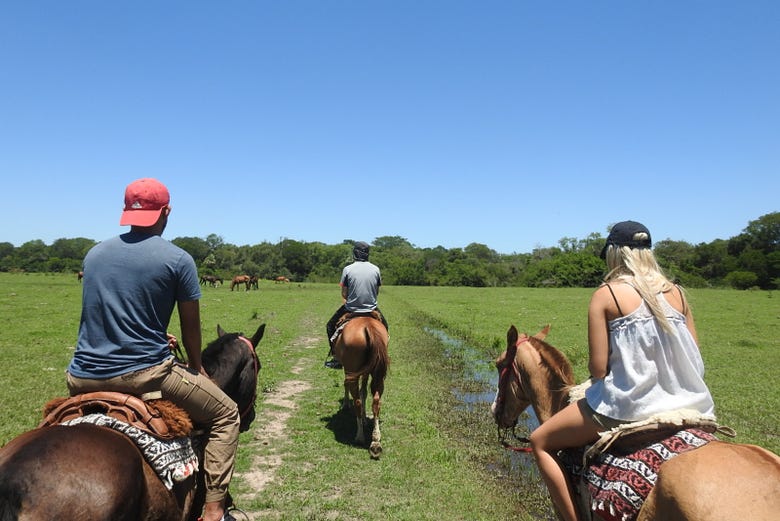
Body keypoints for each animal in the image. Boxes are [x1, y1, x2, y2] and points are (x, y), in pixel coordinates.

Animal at [330, 310, 388, 458]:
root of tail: (368, 327)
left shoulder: (349, 370)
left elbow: (348, 386)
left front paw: (346, 404)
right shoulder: (365, 371)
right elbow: (364, 392)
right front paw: (365, 419)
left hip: (352, 370)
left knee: (357, 401)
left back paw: (360, 437)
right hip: (378, 374)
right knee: (376, 402)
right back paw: (375, 442)